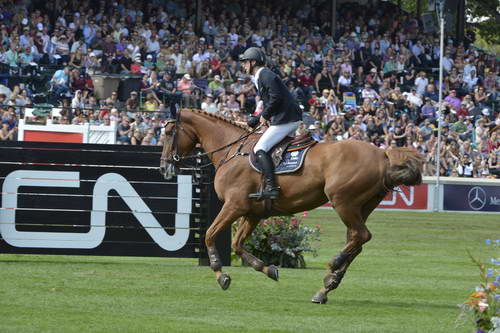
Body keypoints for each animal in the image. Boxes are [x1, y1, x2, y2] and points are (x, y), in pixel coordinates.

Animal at [159, 109, 422, 304]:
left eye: (169, 132)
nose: (164, 168)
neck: (232, 151)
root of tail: (382, 153)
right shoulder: (252, 213)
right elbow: (237, 244)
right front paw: (268, 269)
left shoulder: (234, 206)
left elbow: (209, 235)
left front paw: (220, 274)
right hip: (361, 206)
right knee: (356, 241)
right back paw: (327, 285)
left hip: (343, 202)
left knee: (360, 236)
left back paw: (333, 267)